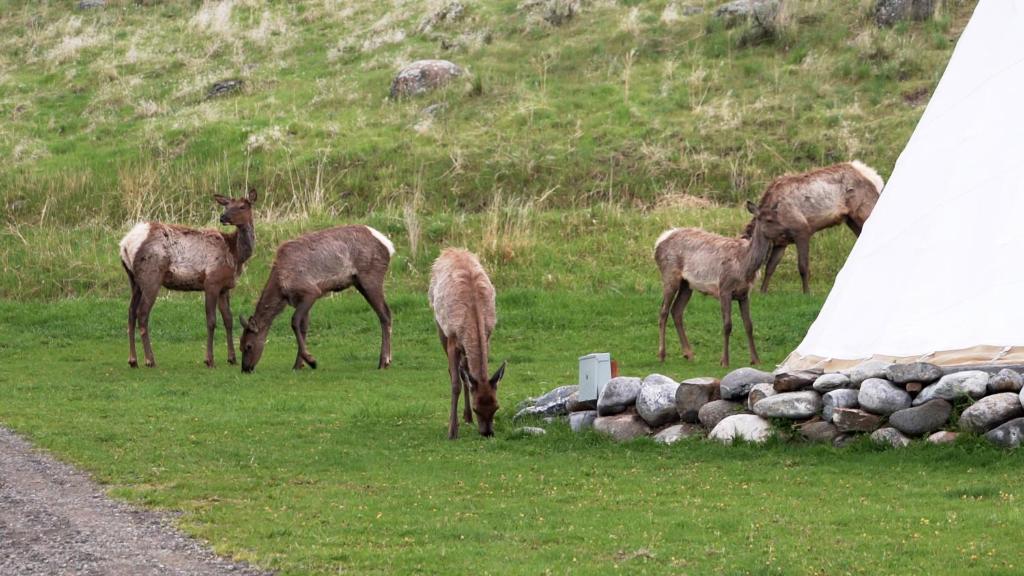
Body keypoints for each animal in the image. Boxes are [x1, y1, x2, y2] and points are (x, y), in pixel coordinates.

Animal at [118, 188, 260, 366]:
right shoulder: (211, 282)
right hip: (151, 276)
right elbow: (211, 321)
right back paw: (150, 359)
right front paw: (209, 360)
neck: (236, 255)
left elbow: (228, 319)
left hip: (134, 280)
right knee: (142, 314)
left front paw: (232, 358)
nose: (223, 217)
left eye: (242, 206)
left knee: (130, 313)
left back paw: (132, 360)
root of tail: (125, 244)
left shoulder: (224, 287)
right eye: (227, 206)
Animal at [237, 224, 393, 373]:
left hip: (370, 277)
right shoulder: (300, 300)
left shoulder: (311, 291)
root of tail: (389, 246)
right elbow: (303, 327)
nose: (245, 369)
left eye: (248, 346)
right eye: (240, 345)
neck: (281, 290)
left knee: (385, 314)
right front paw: (298, 365)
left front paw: (311, 361)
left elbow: (294, 322)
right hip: (359, 282)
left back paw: (384, 361)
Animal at [425, 243, 505, 436]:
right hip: (439, 325)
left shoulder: (487, 336)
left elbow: (468, 376)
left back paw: (466, 417)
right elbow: (455, 384)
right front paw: (452, 430)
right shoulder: (452, 337)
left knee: (465, 370)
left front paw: (466, 418)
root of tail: (450, 249)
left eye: (496, 407)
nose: (487, 433)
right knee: (454, 371)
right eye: (477, 408)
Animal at [659, 204, 770, 366]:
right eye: (768, 219)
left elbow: (749, 325)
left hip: (687, 284)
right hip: (669, 275)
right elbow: (727, 325)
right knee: (663, 311)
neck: (745, 265)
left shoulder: (744, 294)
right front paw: (724, 361)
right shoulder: (724, 289)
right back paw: (662, 354)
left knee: (677, 311)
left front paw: (756, 360)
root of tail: (658, 242)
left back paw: (689, 354)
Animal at [749, 159, 884, 291]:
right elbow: (770, 267)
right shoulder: (781, 241)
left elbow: (803, 266)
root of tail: (876, 178)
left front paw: (807, 292)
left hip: (865, 210)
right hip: (851, 219)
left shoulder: (802, 230)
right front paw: (763, 291)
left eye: (771, 219)